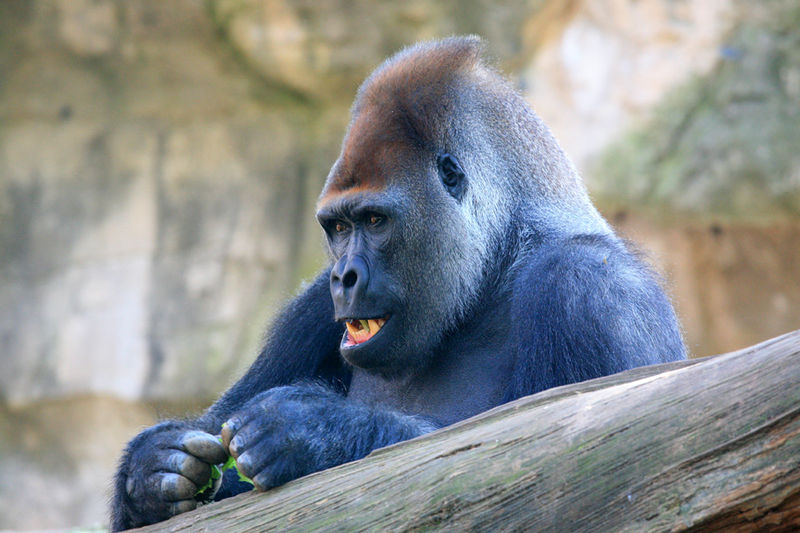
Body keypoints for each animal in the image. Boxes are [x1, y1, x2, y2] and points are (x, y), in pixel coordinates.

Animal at [110, 36, 685, 531]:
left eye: (374, 221)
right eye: (338, 227)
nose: (343, 277)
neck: (499, 261)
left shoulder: (591, 288)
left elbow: (545, 459)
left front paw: (315, 431)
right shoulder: (310, 307)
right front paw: (151, 468)